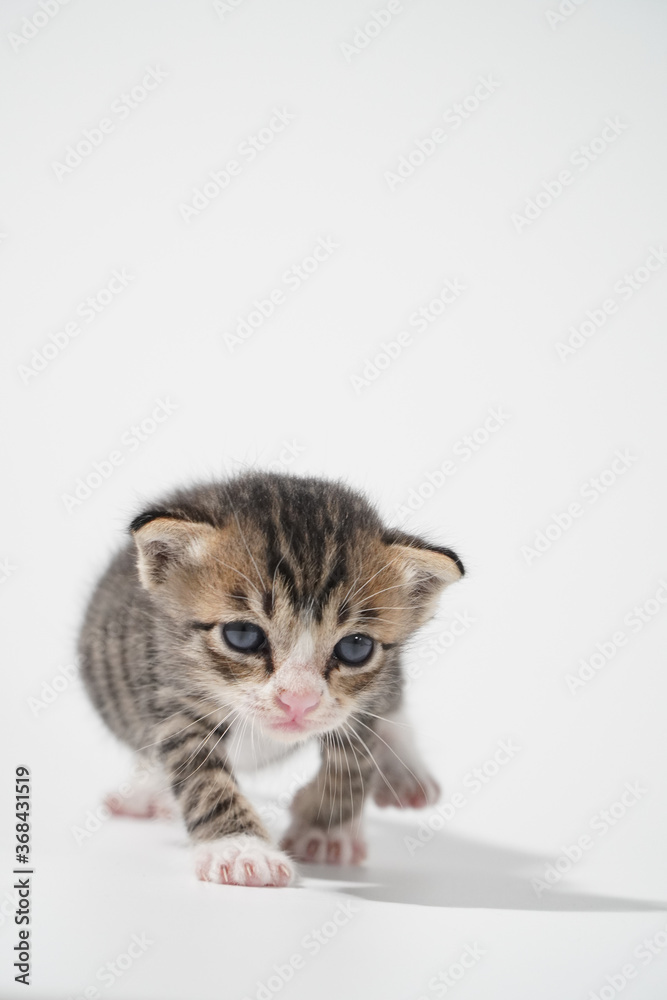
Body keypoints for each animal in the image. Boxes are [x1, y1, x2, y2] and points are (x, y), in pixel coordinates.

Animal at [79, 472, 464, 888]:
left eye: (355, 647)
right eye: (243, 635)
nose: (298, 699)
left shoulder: (360, 702)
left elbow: (354, 762)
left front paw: (325, 829)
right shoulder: (173, 694)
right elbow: (201, 776)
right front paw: (240, 848)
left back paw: (406, 773)